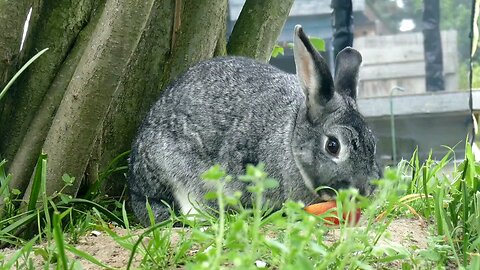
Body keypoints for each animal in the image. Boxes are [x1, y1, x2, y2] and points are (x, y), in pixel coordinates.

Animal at [126, 25, 378, 225]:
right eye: (333, 146)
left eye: (372, 144)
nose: (363, 190)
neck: (289, 140)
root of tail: (137, 189)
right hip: (177, 171)